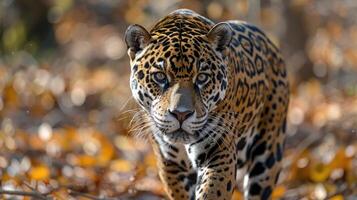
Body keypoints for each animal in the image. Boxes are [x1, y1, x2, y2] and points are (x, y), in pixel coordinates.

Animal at [124, 9, 288, 200]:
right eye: (160, 76)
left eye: (202, 77)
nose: (181, 114)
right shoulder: (169, 161)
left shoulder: (219, 152)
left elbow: (212, 191)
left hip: (268, 155)